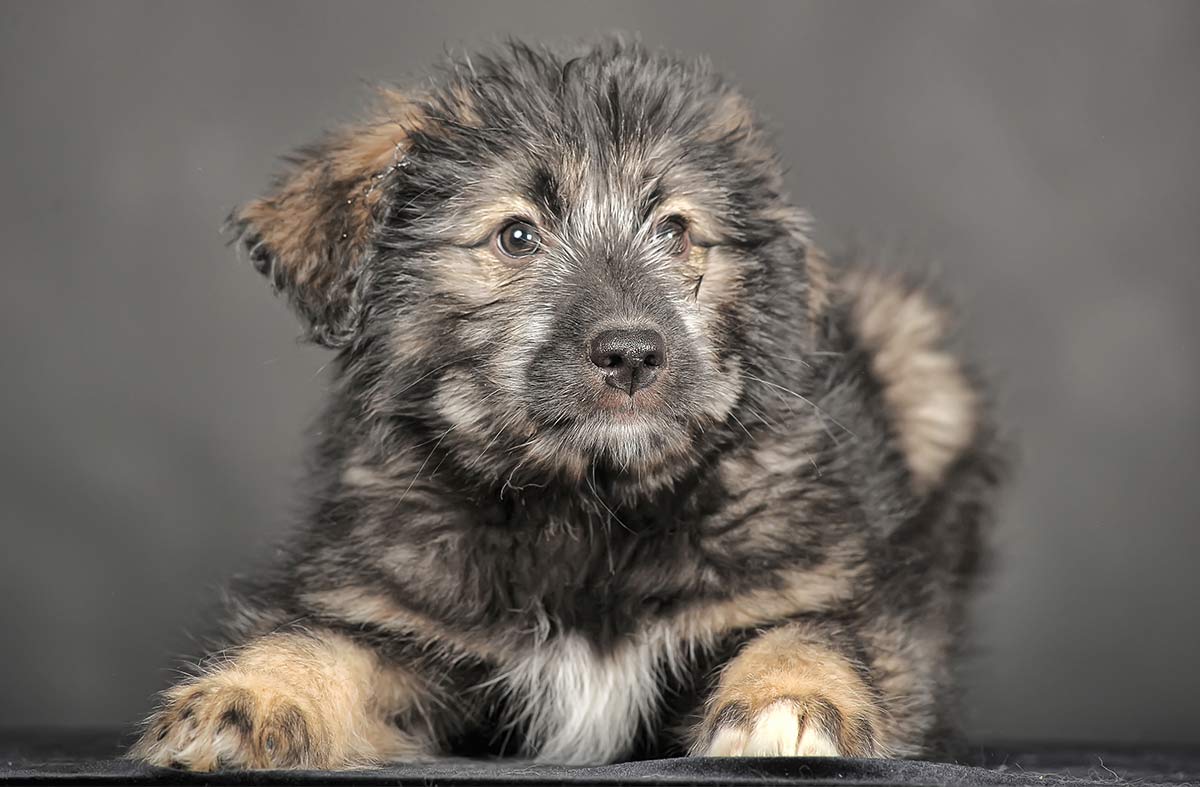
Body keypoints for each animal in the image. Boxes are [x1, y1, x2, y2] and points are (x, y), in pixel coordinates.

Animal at [129, 39, 1003, 772]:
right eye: (517, 236)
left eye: (676, 230)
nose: (632, 353)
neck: (587, 507)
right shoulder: (394, 613)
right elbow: (317, 640)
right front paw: (247, 697)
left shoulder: (830, 586)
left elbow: (816, 631)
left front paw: (789, 698)